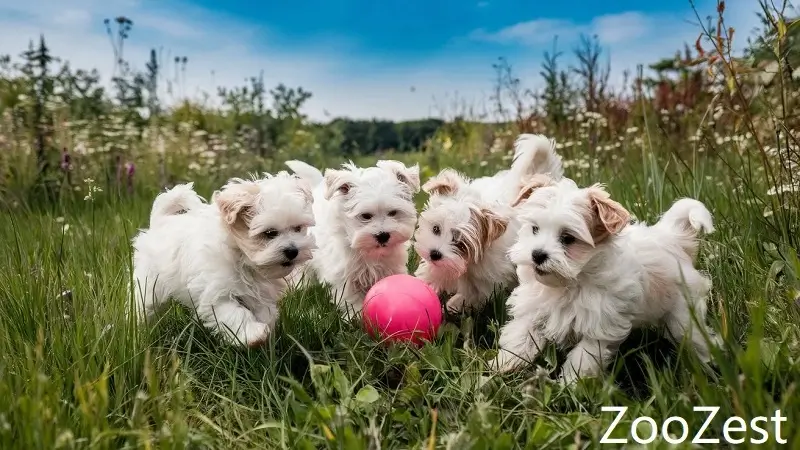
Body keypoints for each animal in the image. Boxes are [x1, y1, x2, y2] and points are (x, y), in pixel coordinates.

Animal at [132, 173, 316, 348]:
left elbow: (264, 312)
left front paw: (267, 332)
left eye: (298, 228)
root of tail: (160, 222)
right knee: (145, 306)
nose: (293, 251)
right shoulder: (217, 294)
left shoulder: (260, 294)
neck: (242, 257)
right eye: (270, 233)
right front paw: (253, 334)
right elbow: (235, 314)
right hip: (150, 285)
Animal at [284, 158, 422, 316]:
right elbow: (351, 297)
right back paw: (300, 288)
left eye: (393, 213)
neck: (369, 251)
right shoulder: (345, 274)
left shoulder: (392, 266)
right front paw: (355, 315)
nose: (383, 235)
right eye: (365, 216)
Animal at [412, 135, 564, 314]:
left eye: (460, 243)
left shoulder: (488, 276)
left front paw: (454, 305)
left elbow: (475, 294)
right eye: (436, 229)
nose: (435, 254)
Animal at [490, 176, 720, 384]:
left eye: (567, 238)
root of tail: (672, 239)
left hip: (683, 314)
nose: (537, 255)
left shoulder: (600, 326)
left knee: (695, 336)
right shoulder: (533, 309)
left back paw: (712, 363)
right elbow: (520, 337)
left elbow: (583, 359)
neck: (567, 283)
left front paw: (571, 387)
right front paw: (504, 366)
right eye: (535, 229)